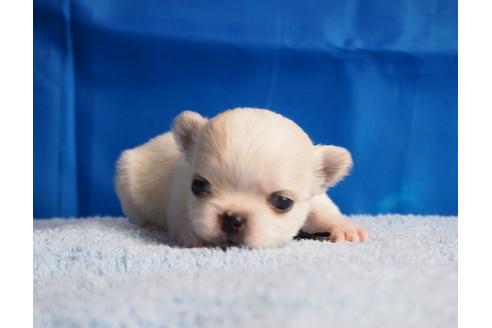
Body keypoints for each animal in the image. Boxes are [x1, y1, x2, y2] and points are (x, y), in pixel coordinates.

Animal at [116, 109, 366, 247]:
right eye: (198, 185)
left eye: (283, 202)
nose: (232, 218)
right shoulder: (179, 196)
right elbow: (182, 218)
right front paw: (197, 237)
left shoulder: (315, 197)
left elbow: (324, 210)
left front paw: (344, 226)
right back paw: (152, 226)